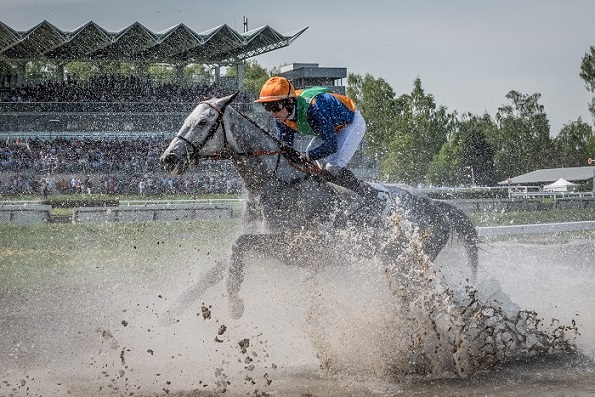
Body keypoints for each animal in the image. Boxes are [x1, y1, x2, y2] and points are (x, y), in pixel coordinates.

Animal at [158, 92, 480, 318]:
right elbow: (217, 269)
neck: (278, 184)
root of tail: (436, 205)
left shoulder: (296, 248)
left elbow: (240, 245)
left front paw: (235, 303)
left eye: (202, 122)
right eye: (185, 119)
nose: (168, 159)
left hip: (409, 261)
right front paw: (168, 313)